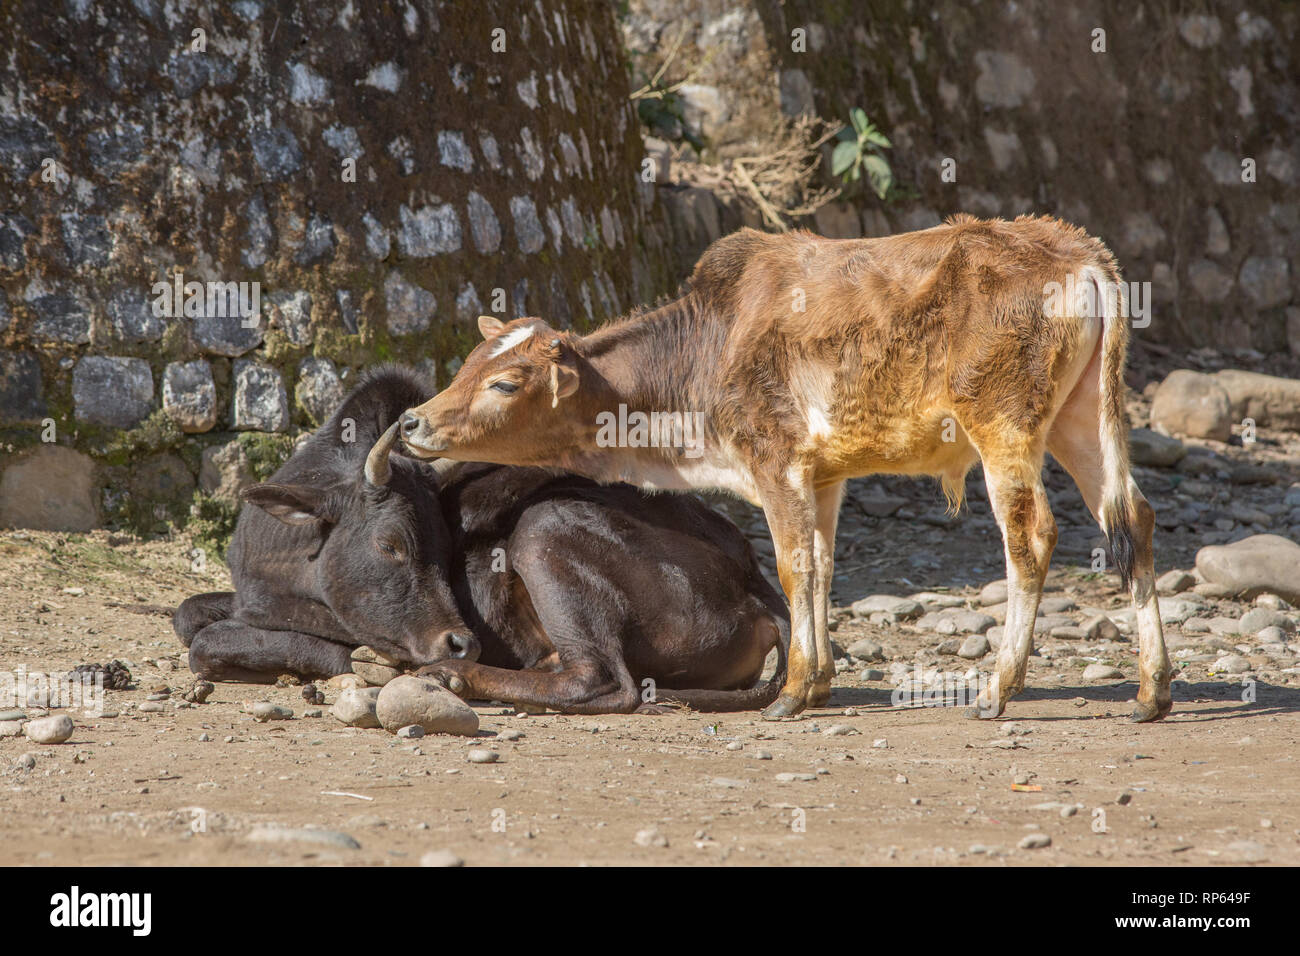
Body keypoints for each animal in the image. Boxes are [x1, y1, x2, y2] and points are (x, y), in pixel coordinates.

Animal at [176, 366, 785, 712]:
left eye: (448, 547)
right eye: (390, 544)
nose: (459, 641)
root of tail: (760, 591)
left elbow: (213, 641)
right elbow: (189, 619)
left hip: (545, 526)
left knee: (604, 682)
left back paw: (455, 678)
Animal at [400, 217, 1175, 723]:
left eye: (505, 382)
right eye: (468, 364)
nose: (411, 422)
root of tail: (1079, 252)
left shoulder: (776, 461)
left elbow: (794, 566)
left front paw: (796, 691)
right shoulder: (824, 474)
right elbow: (823, 567)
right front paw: (821, 681)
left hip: (1005, 427)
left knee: (1031, 538)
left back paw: (997, 690)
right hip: (1082, 418)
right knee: (1134, 520)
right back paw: (1152, 692)